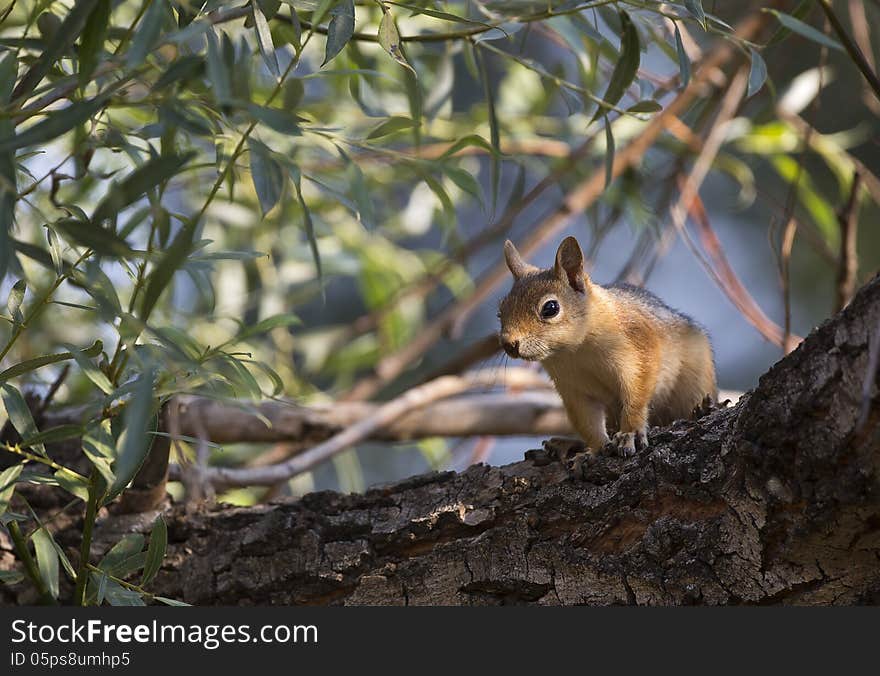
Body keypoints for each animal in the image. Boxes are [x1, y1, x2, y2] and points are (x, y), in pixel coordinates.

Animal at [498, 238, 720, 460]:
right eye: (500, 311)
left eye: (550, 308)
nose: (509, 344)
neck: (574, 352)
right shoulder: (573, 388)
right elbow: (586, 420)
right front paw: (595, 449)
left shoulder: (640, 346)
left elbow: (636, 395)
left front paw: (630, 433)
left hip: (696, 379)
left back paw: (701, 410)